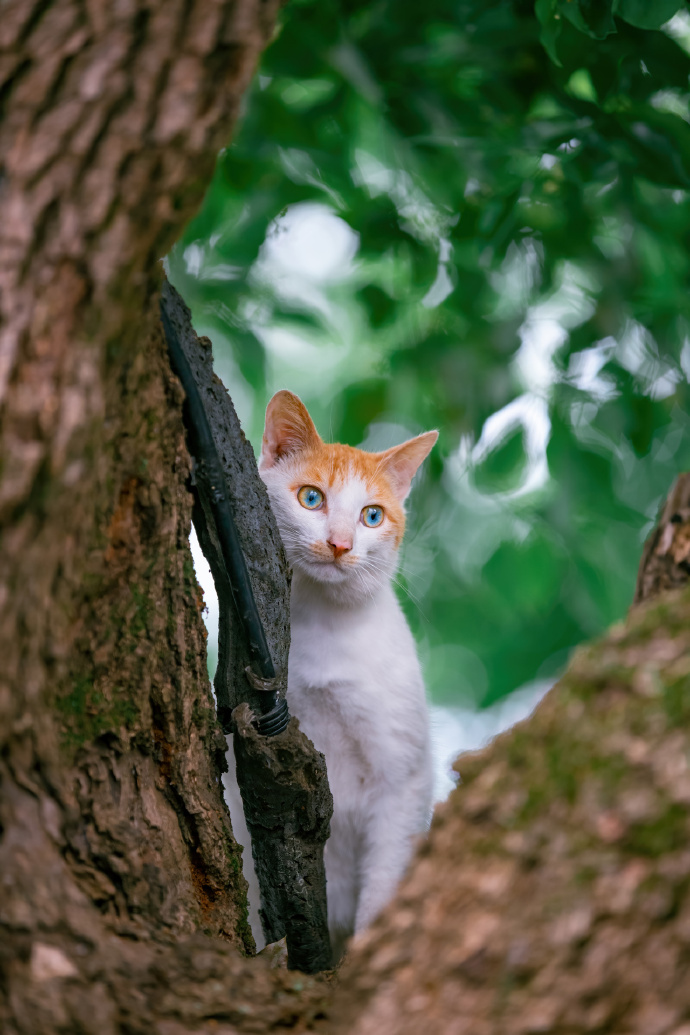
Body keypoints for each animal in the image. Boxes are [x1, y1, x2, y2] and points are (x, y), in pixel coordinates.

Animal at [258, 389, 436, 960]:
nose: (338, 543)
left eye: (372, 515)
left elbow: (385, 876)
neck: (326, 623)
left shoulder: (402, 775)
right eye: (311, 499)